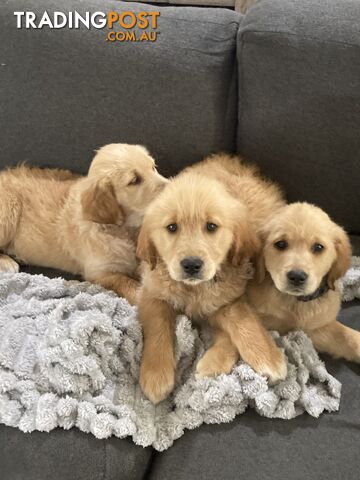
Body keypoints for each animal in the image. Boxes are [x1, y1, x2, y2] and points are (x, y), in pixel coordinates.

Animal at [0, 142, 167, 306]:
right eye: (134, 180)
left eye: (153, 167)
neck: (123, 230)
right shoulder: (101, 272)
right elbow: (131, 287)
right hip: (8, 212)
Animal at [136, 155, 288, 404]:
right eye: (171, 227)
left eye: (211, 226)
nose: (191, 265)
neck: (194, 290)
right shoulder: (153, 293)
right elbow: (158, 328)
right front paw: (155, 376)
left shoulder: (230, 299)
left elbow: (243, 321)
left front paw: (267, 356)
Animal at [245, 202, 360, 364]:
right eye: (280, 244)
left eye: (318, 247)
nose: (297, 276)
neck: (295, 302)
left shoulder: (314, 327)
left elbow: (350, 338)